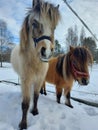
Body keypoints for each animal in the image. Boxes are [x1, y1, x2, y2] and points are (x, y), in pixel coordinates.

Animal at [10, 0, 60, 129]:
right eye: (34, 23)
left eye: (54, 27)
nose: (46, 52)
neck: (35, 62)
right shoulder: (26, 80)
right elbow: (25, 103)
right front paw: (23, 124)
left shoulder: (39, 79)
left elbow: (36, 96)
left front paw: (35, 111)